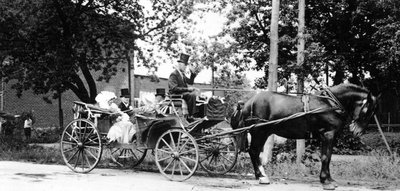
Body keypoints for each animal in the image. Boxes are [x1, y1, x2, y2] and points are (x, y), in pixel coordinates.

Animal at [231, 83, 378, 190]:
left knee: (254, 152)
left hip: (263, 132)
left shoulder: (328, 136)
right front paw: (326, 181)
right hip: (259, 132)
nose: (357, 131)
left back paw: (260, 175)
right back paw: (262, 176)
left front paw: (329, 179)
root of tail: (248, 102)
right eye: (367, 109)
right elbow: (325, 157)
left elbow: (328, 156)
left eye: (372, 111)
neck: (329, 104)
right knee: (254, 151)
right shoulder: (328, 134)